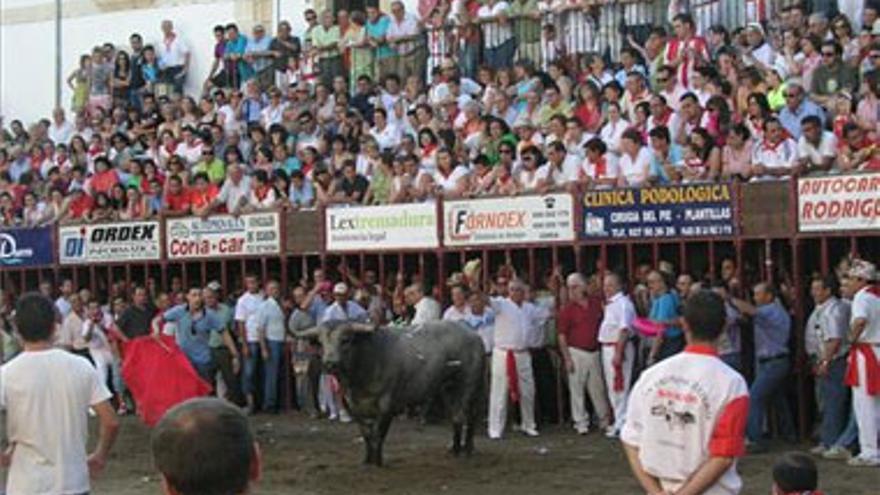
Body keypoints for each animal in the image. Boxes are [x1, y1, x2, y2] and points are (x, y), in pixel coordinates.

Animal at [298, 320, 488, 466]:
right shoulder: (354, 407)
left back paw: (465, 450)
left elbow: (378, 435)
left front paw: (378, 462)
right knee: (457, 417)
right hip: (448, 388)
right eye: (321, 342)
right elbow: (366, 434)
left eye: (346, 340)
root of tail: (474, 335)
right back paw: (456, 449)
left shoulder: (387, 406)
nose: (330, 363)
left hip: (469, 386)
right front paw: (367, 461)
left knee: (466, 416)